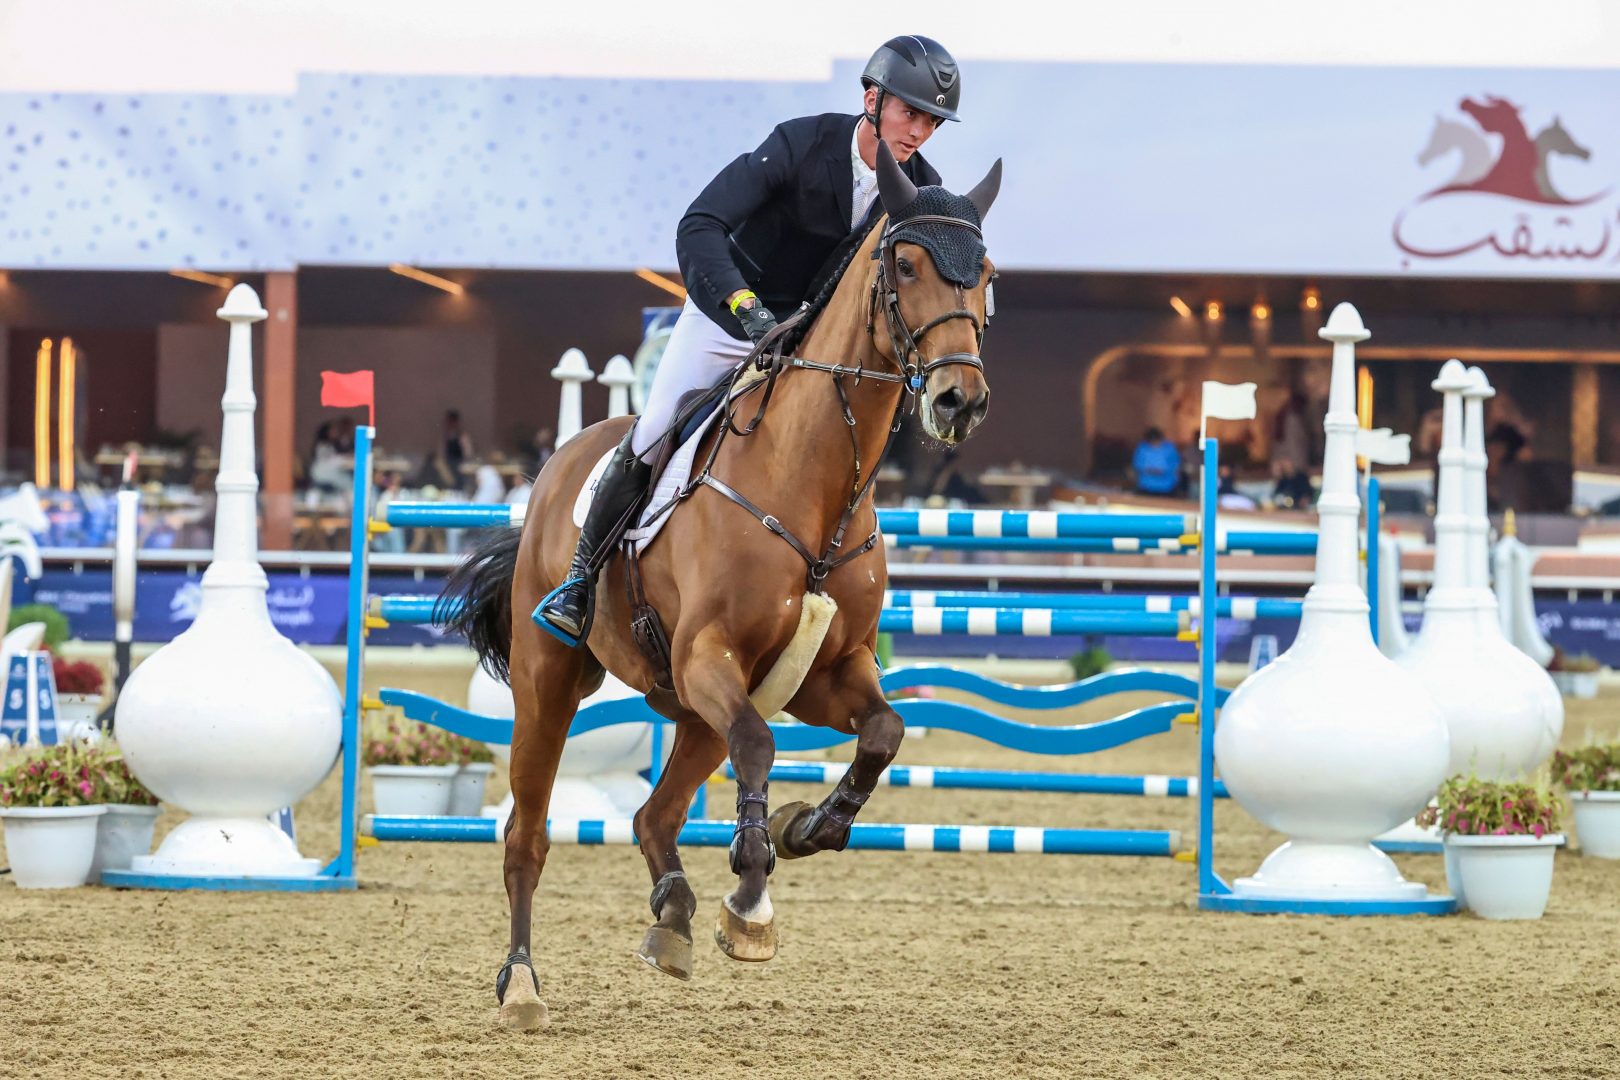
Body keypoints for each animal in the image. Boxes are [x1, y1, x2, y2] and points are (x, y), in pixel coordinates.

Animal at [443, 144, 1002, 1032]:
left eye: (985, 274)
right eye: (906, 265)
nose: (959, 400)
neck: (812, 483)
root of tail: (560, 463)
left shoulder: (822, 674)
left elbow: (883, 732)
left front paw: (805, 829)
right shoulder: (711, 656)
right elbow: (761, 747)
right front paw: (750, 893)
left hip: (689, 706)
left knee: (655, 813)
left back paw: (673, 914)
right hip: (551, 682)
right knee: (527, 836)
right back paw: (523, 983)